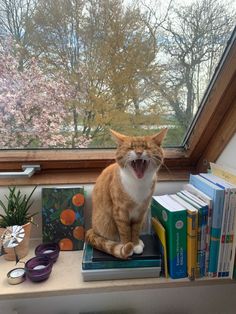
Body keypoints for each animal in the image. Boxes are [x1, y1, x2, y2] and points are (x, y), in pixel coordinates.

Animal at [85, 129, 167, 258]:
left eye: (146, 147)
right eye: (131, 147)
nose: (139, 152)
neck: (138, 184)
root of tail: (92, 228)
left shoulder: (141, 212)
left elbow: (135, 229)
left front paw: (136, 243)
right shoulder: (120, 212)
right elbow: (125, 231)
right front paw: (128, 245)